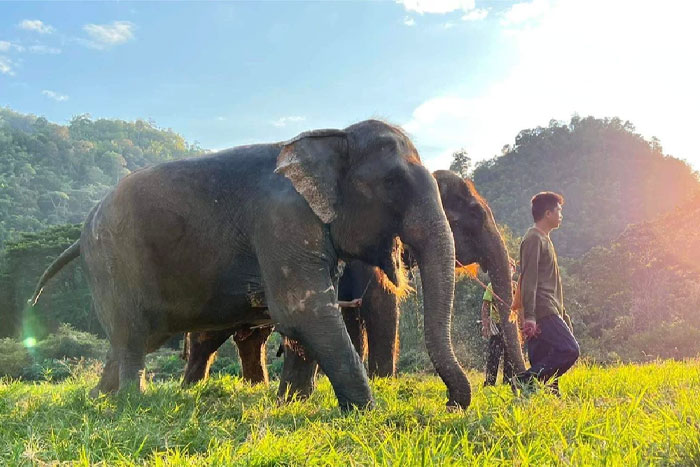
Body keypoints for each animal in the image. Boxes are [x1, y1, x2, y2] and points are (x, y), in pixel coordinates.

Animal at [31, 119, 470, 410]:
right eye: (392, 185)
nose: (451, 404)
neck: (332, 134)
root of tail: (81, 233)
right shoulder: (281, 221)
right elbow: (304, 312)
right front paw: (367, 415)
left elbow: (309, 315)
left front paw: (293, 406)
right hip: (114, 260)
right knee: (132, 334)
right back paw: (131, 403)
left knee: (135, 337)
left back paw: (97, 397)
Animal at [180, 170, 524, 400]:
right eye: (475, 215)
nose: (521, 383)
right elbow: (381, 306)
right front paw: (383, 381)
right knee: (207, 337)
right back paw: (189, 389)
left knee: (253, 338)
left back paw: (254, 387)